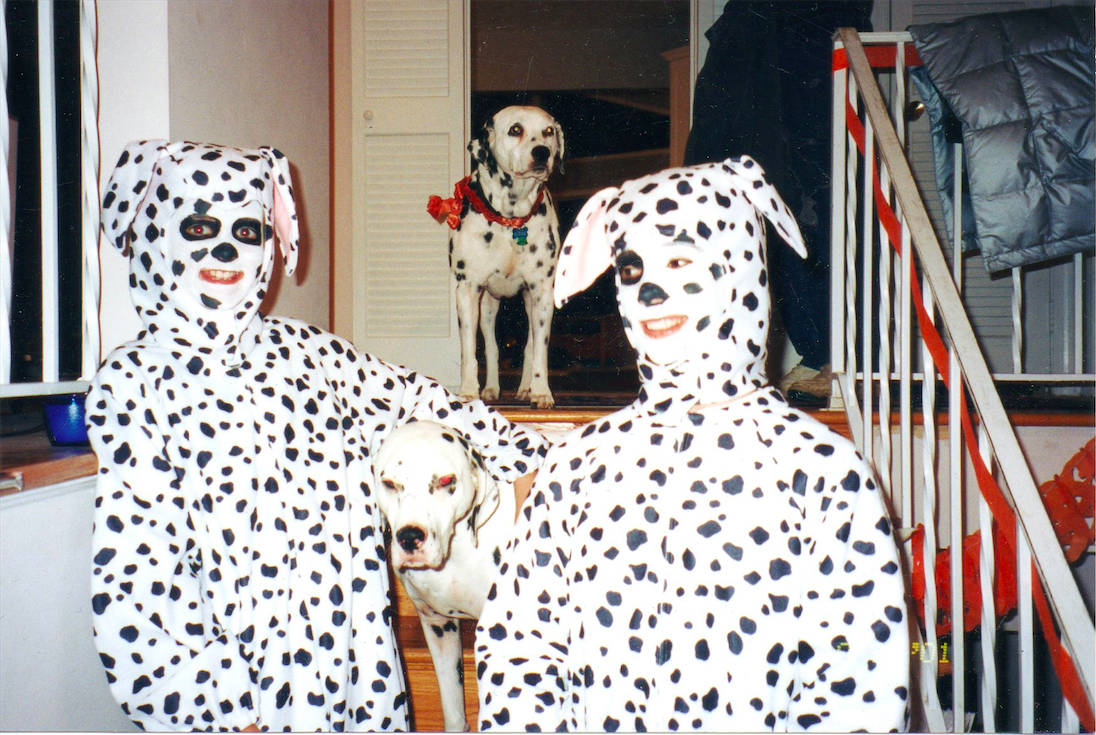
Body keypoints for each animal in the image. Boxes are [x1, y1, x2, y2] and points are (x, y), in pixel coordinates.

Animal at [427, 107, 565, 411]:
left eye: (548, 131)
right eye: (516, 129)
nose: (541, 152)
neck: (510, 219)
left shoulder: (542, 292)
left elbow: (539, 349)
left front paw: (541, 391)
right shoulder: (468, 290)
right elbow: (470, 350)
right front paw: (469, 391)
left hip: (529, 301)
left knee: (529, 345)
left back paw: (525, 387)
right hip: (487, 306)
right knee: (491, 346)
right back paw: (490, 388)